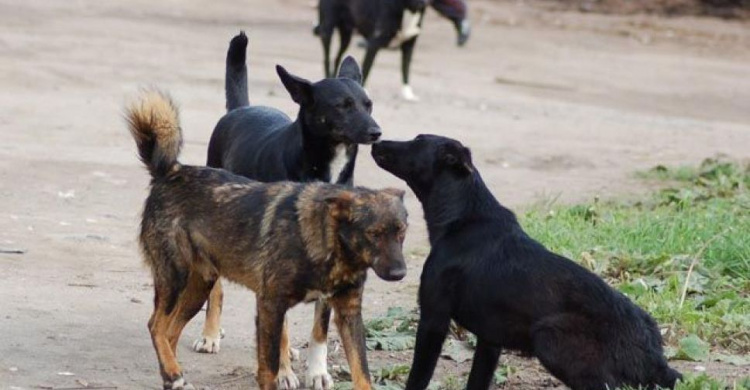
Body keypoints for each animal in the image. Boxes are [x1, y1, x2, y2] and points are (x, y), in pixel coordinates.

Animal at [129, 90, 412, 390]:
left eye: (402, 231)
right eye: (373, 234)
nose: (399, 273)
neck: (330, 243)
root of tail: (171, 171)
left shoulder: (348, 312)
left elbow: (362, 373)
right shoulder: (271, 305)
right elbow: (270, 368)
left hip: (199, 285)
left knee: (169, 331)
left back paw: (173, 376)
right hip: (175, 277)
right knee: (156, 326)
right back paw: (174, 373)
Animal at [197, 31, 382, 390]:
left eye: (368, 104)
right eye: (342, 106)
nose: (376, 132)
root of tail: (242, 108)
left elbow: (320, 327)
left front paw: (317, 371)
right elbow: (279, 328)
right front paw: (283, 372)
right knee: (217, 286)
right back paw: (210, 334)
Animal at [374, 134, 684, 390]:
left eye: (416, 141)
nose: (376, 140)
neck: (462, 215)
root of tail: (654, 356)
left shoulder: (433, 318)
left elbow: (418, 378)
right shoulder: (490, 340)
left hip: (549, 339)